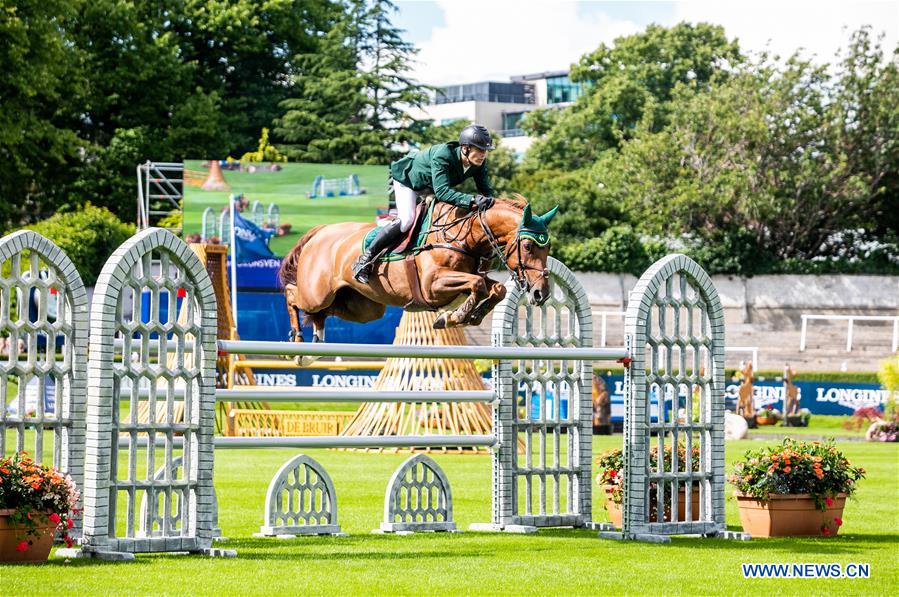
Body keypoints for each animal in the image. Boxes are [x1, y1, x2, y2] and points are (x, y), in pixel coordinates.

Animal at [278, 193, 560, 356]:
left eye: (547, 247)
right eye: (528, 246)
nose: (541, 293)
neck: (464, 235)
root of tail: (320, 231)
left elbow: (496, 288)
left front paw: (467, 315)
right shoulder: (432, 285)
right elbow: (478, 284)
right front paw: (456, 316)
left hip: (363, 307)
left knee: (324, 312)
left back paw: (316, 338)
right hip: (317, 293)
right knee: (293, 295)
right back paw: (297, 339)